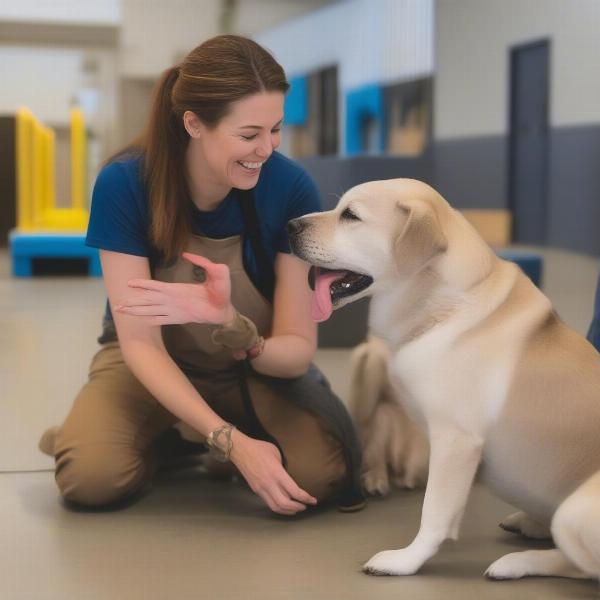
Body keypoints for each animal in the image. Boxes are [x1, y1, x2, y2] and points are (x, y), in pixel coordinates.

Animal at [286, 178, 600, 580]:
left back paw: (515, 563)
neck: (442, 307)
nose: (289, 226)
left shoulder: (456, 440)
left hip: (573, 513)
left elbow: (434, 514)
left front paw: (405, 562)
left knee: (581, 566)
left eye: (351, 216)